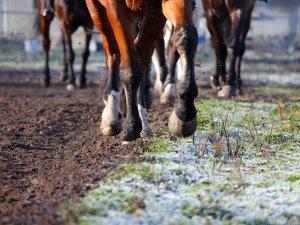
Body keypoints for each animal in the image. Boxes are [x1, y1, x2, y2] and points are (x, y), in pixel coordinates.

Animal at [86, 0, 199, 142]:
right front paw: (132, 126)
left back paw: (143, 120)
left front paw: (184, 112)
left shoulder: (158, 12)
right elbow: (130, 68)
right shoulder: (116, 8)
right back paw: (110, 114)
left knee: (141, 56)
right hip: (96, 10)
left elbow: (186, 39)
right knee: (113, 51)